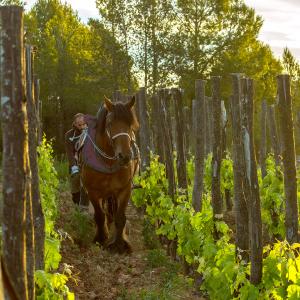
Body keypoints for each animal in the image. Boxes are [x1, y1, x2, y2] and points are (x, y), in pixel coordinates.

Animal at [81, 96, 139, 253]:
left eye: (130, 123)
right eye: (110, 123)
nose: (125, 156)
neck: (107, 162)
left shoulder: (125, 189)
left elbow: (120, 216)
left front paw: (119, 244)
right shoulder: (92, 191)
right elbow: (100, 215)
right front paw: (101, 238)